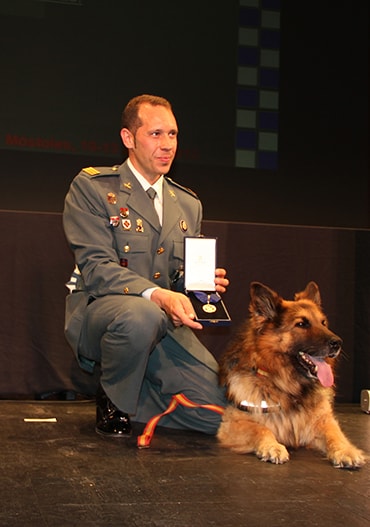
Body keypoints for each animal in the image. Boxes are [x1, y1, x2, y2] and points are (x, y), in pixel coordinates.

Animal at [218, 282, 366, 468]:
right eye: (302, 324)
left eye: (323, 323)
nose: (338, 343)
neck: (288, 387)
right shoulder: (231, 424)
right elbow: (260, 428)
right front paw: (272, 446)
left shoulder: (323, 420)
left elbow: (334, 434)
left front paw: (345, 450)